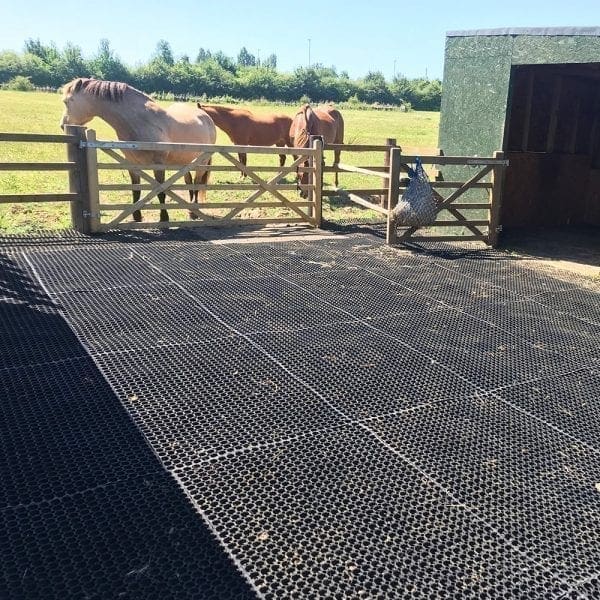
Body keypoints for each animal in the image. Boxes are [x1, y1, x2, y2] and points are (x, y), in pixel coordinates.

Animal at [60, 77, 216, 223]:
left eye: (67, 101)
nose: (63, 125)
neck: (142, 121)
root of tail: (206, 117)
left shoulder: (158, 165)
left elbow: (160, 192)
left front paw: (164, 218)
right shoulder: (132, 164)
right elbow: (136, 190)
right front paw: (136, 216)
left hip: (201, 163)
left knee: (196, 183)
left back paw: (194, 212)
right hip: (185, 162)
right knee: (189, 182)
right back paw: (190, 210)